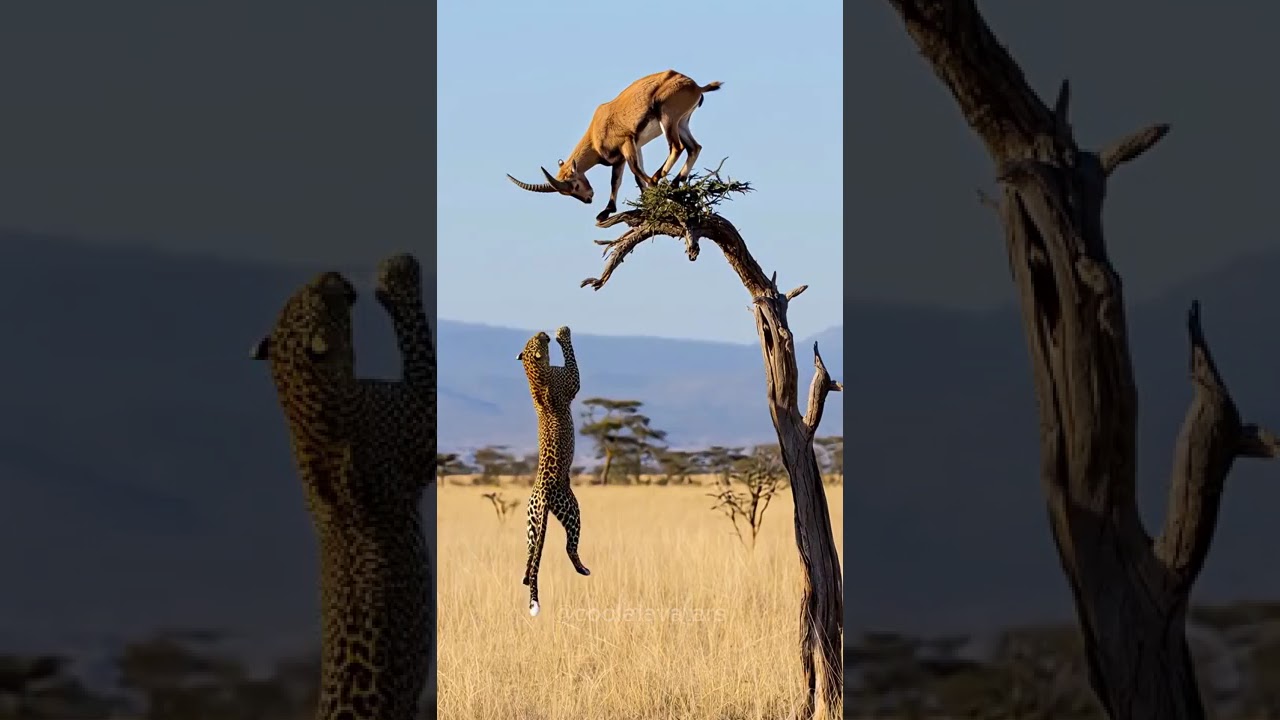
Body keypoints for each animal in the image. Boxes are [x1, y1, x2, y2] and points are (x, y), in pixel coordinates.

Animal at [251, 258, 434, 720]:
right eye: (321, 294)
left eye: (299, 294)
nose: (331, 274)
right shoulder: (421, 413)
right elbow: (418, 341)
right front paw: (398, 275)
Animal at [507, 69, 723, 223]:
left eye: (574, 185)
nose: (588, 198)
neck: (596, 131)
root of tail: (696, 86)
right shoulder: (629, 151)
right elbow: (626, 178)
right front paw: (614, 209)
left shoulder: (626, 144)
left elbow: (632, 172)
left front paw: (649, 191)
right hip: (682, 122)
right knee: (694, 147)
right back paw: (675, 182)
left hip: (668, 118)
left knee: (677, 147)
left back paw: (658, 178)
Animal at [517, 325, 591, 617]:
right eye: (537, 341)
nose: (542, 332)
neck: (535, 375)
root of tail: (545, 494)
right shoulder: (573, 379)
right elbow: (571, 356)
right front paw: (563, 333)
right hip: (572, 510)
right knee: (570, 546)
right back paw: (584, 569)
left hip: (531, 521)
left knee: (530, 556)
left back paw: (526, 578)